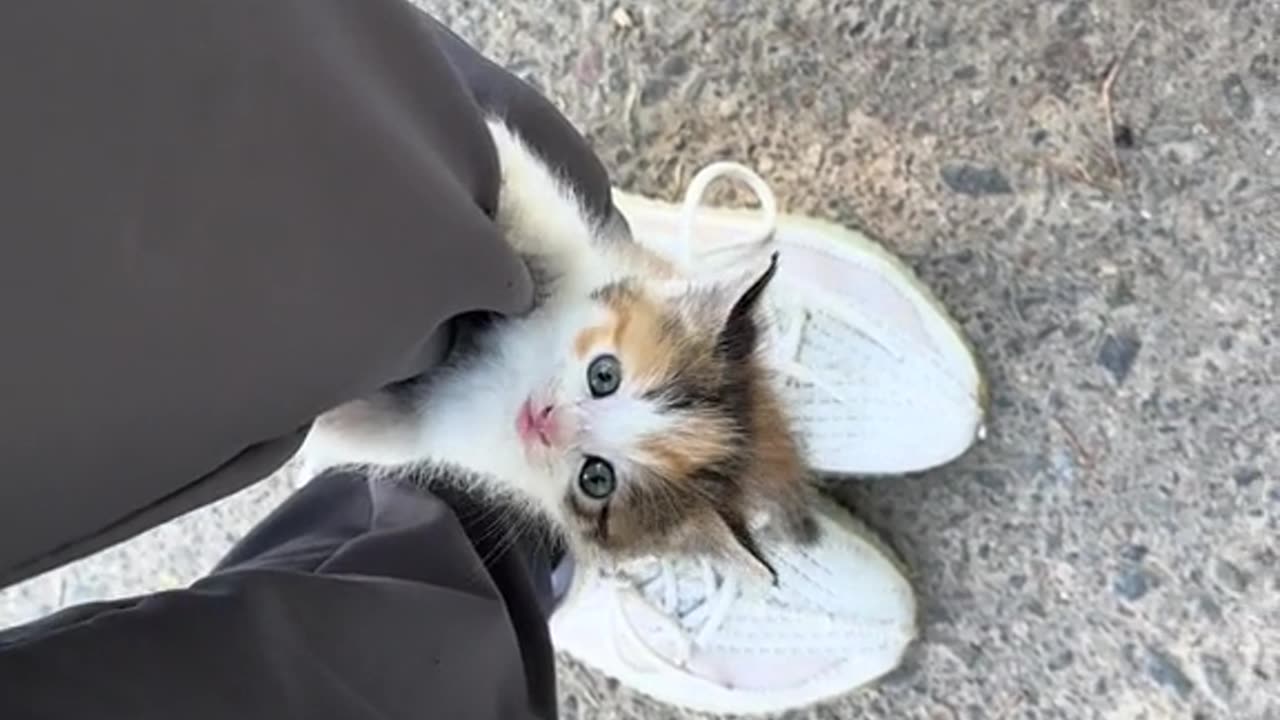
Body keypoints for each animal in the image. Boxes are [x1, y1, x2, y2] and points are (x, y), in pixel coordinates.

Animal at [299, 117, 814, 576]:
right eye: (604, 375)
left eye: (597, 479)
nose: (544, 420)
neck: (516, 379)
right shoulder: (589, 267)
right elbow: (555, 232)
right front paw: (500, 155)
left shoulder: (455, 438)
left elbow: (405, 438)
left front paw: (336, 426)